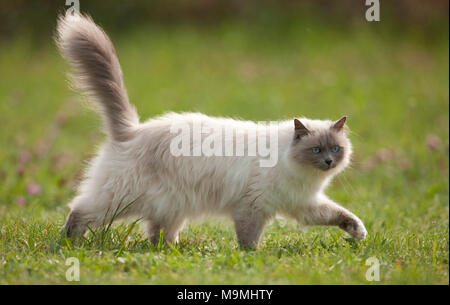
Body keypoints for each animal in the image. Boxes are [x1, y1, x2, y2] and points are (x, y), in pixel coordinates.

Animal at [56, 14, 368, 247]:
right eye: (316, 149)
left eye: (335, 149)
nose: (328, 161)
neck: (303, 175)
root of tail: (132, 129)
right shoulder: (253, 207)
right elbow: (249, 240)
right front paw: (251, 259)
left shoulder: (303, 204)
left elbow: (338, 214)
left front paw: (359, 233)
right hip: (120, 199)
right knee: (80, 211)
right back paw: (68, 244)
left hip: (171, 204)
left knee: (157, 233)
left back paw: (171, 250)